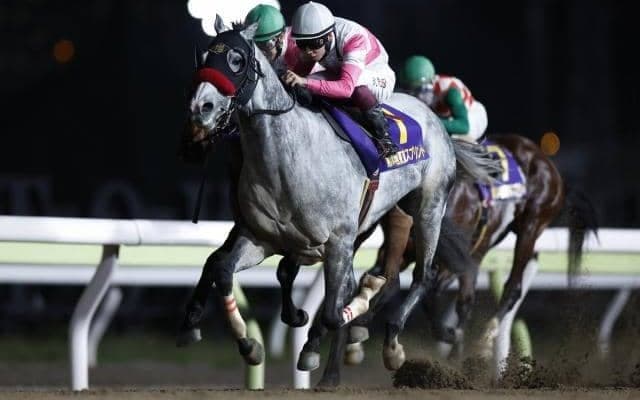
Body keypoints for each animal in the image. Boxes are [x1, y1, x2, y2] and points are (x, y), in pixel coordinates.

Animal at [177, 15, 500, 371]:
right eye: (204, 57)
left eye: (237, 60)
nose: (200, 108)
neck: (285, 163)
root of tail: (434, 118)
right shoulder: (261, 238)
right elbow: (224, 269)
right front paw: (249, 344)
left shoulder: (338, 243)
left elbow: (335, 311)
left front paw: (351, 310)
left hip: (428, 208)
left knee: (423, 275)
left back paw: (393, 342)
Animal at [309, 133, 598, 386]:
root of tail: (546, 162)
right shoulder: (413, 252)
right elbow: (386, 284)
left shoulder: (446, 257)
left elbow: (424, 291)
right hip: (480, 249)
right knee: (465, 300)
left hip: (531, 225)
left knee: (511, 288)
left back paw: (480, 345)